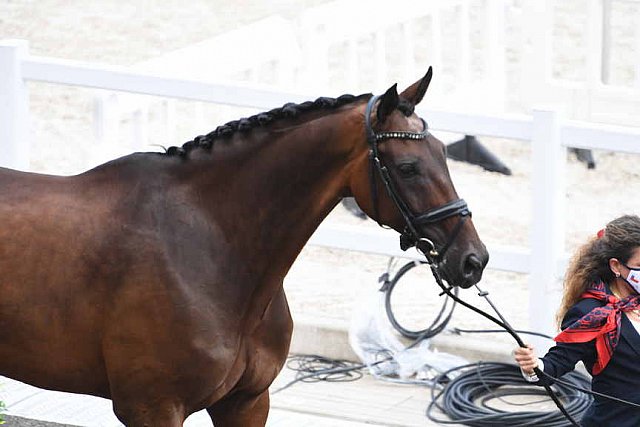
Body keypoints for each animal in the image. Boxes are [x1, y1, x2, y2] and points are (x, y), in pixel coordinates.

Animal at [0, 68, 488, 426]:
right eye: (407, 168)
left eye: (444, 153)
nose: (472, 260)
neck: (213, 249)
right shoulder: (153, 409)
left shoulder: (247, 401)